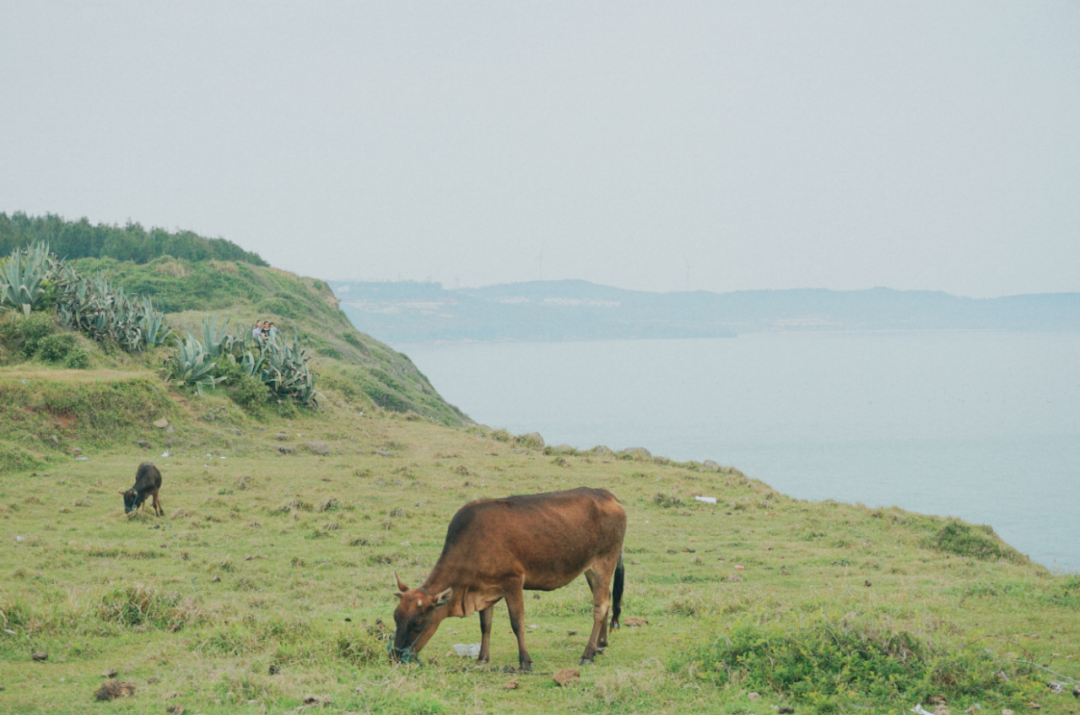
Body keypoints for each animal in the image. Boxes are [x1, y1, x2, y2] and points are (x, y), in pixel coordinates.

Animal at [388, 488, 626, 673]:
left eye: (418, 623)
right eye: (396, 618)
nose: (395, 657)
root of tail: (607, 495)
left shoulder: (513, 582)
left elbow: (517, 623)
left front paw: (525, 662)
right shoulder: (484, 590)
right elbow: (485, 625)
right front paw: (482, 658)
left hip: (604, 562)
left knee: (600, 606)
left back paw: (588, 654)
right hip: (591, 570)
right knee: (605, 600)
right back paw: (600, 645)